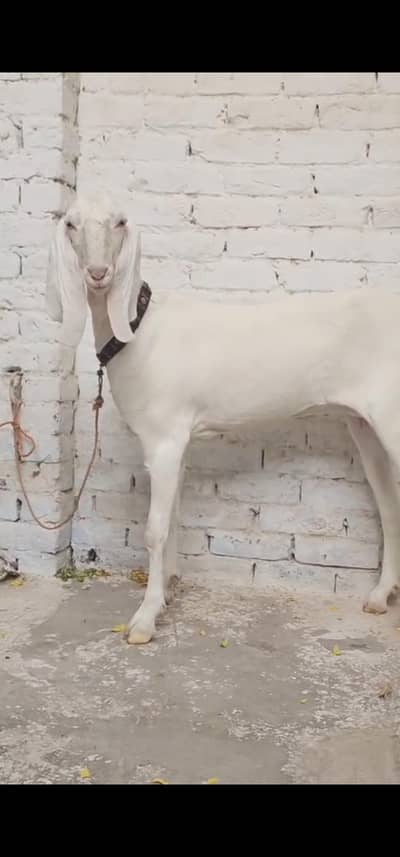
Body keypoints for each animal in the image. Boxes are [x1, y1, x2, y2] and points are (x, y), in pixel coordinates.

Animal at [46, 192, 400, 643]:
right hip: (366, 425)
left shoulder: (163, 440)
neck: (140, 330)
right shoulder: (178, 440)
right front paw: (169, 591)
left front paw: (144, 619)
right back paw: (380, 595)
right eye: (71, 224)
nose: (97, 273)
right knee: (389, 505)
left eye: (121, 222)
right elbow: (173, 516)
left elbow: (155, 528)